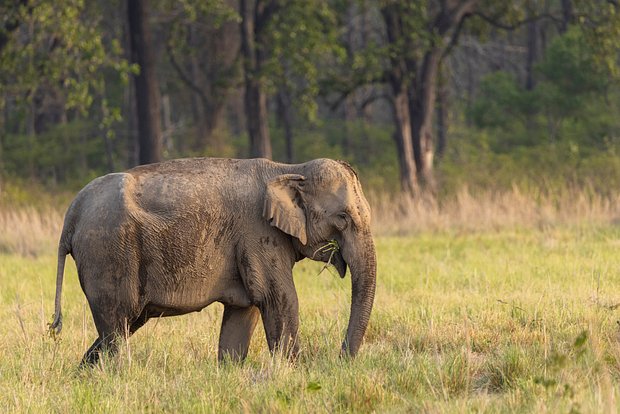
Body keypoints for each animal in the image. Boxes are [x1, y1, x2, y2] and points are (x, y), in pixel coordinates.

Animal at [48, 158, 376, 366]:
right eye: (343, 218)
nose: (340, 360)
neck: (289, 169)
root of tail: (72, 213)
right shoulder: (258, 234)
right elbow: (278, 299)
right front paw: (292, 372)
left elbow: (244, 311)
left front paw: (230, 371)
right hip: (108, 252)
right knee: (117, 325)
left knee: (121, 326)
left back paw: (84, 377)